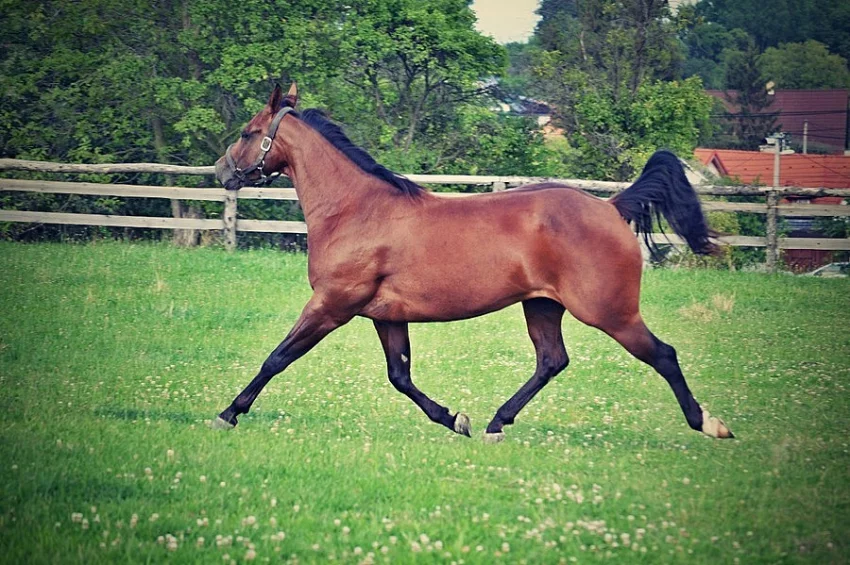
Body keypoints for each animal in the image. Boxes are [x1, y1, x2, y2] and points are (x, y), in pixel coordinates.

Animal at [212, 83, 734, 442]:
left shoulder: (332, 305)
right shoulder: (385, 315)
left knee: (662, 354)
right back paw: (496, 423)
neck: (356, 210)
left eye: (248, 132)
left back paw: (709, 424)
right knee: (552, 360)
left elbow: (277, 357)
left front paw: (228, 413)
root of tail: (610, 207)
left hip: (609, 312)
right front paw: (454, 419)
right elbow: (400, 376)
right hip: (542, 305)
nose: (221, 171)